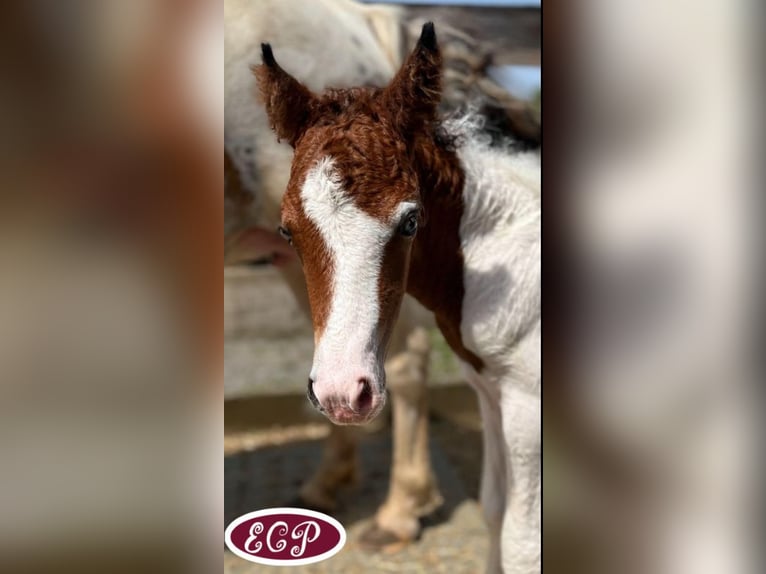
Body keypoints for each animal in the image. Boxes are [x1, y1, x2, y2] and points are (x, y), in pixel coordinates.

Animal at [256, 22, 540, 574]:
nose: (342, 394)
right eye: (286, 230)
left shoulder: (526, 403)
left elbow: (522, 542)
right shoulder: (490, 389)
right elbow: (493, 510)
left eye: (411, 221)